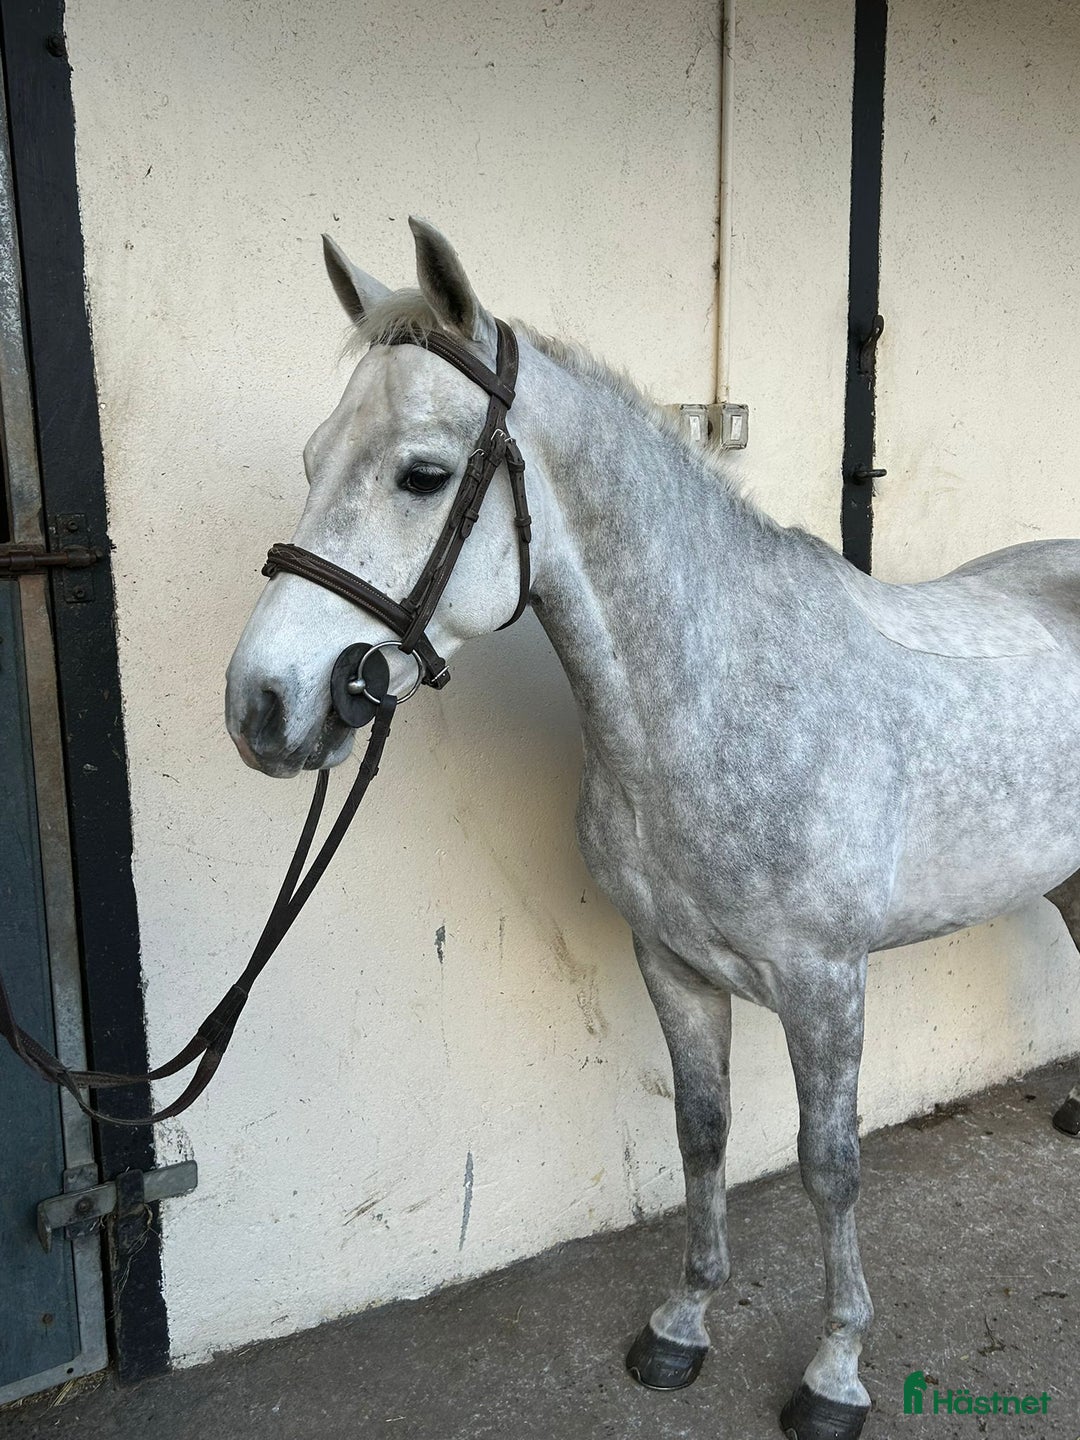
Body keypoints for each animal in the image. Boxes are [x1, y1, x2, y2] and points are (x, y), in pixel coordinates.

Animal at [225, 218, 1080, 1440]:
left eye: (421, 474)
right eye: (309, 460)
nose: (263, 707)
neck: (716, 699)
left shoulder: (827, 982)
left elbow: (829, 1167)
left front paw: (835, 1372)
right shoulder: (670, 963)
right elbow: (702, 1133)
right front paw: (683, 1326)